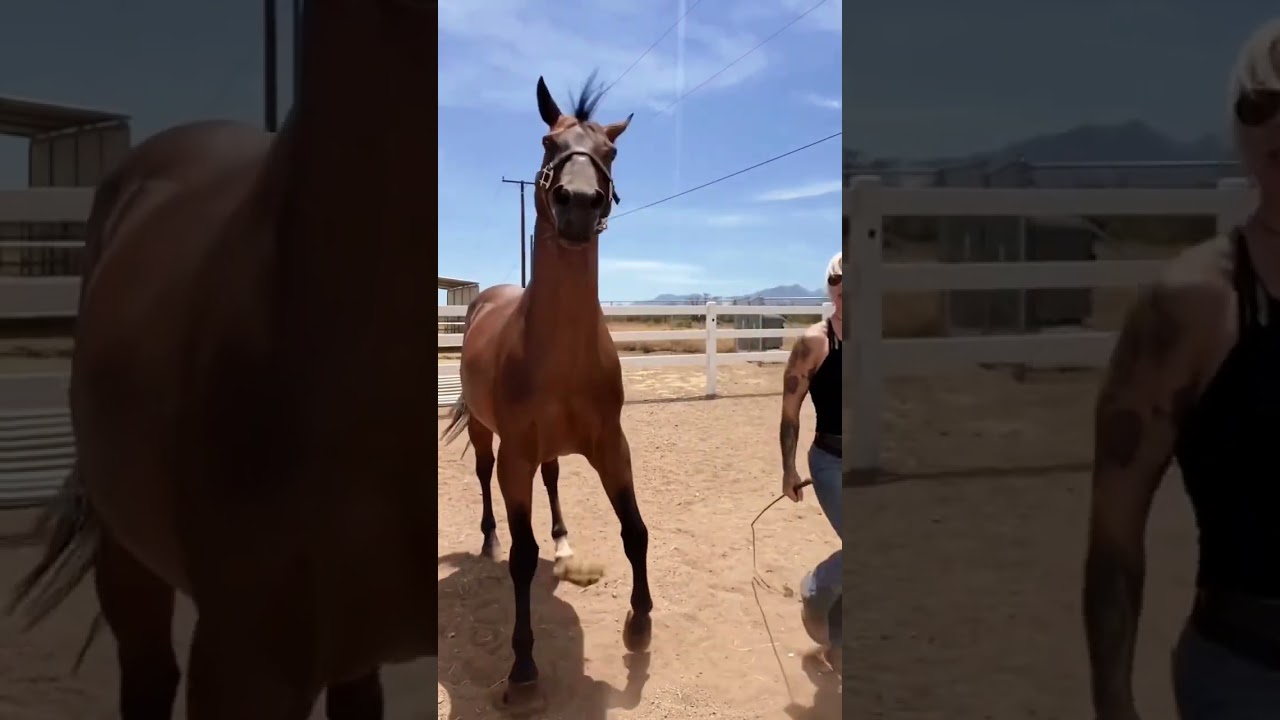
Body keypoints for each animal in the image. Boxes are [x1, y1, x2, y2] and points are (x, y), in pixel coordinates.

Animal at [440, 74, 652, 712]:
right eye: (547, 141)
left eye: (610, 151)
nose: (578, 203)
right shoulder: (516, 457)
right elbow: (521, 556)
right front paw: (523, 667)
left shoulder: (611, 445)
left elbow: (635, 530)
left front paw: (640, 624)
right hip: (488, 435)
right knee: (483, 478)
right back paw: (487, 538)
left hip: (552, 450)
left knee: (555, 481)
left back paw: (563, 541)